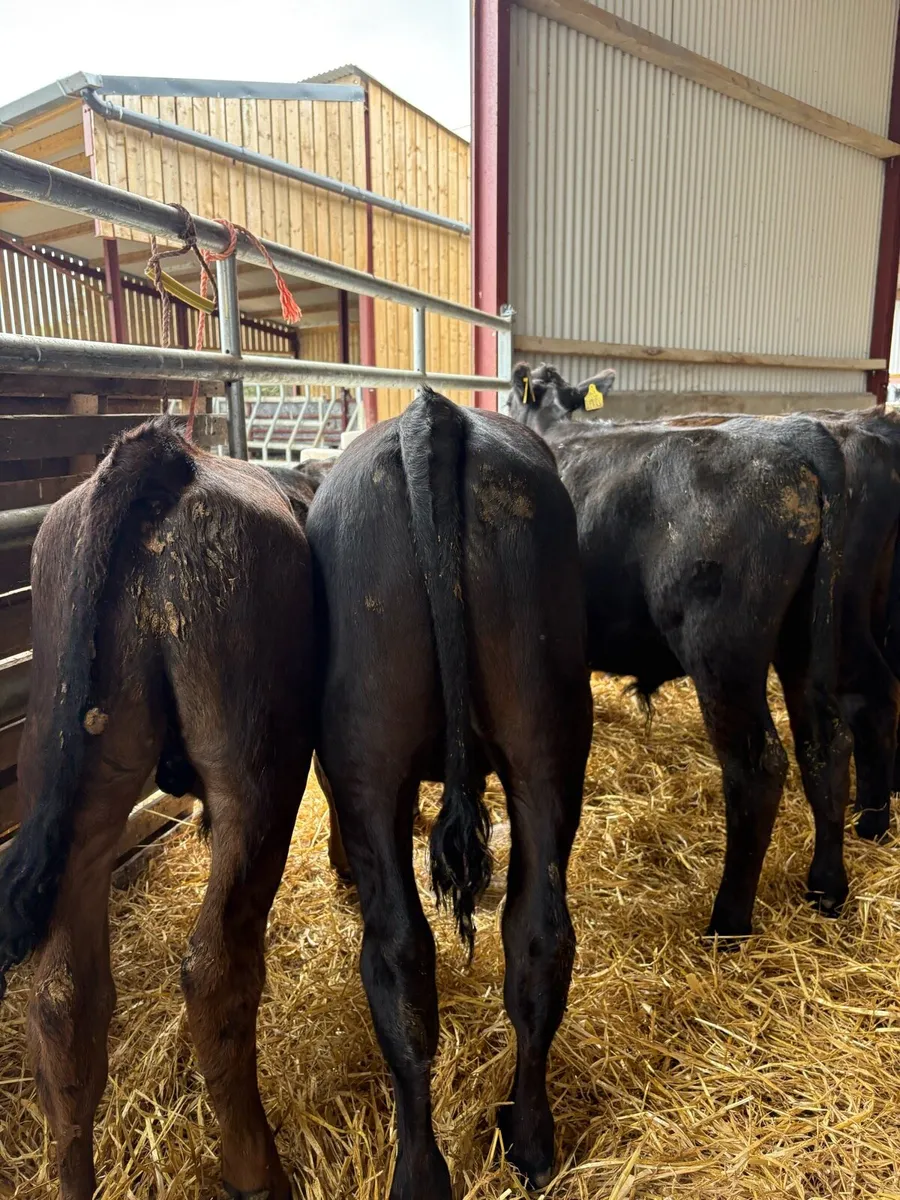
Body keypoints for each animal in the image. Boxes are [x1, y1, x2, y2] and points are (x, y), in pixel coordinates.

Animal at [0, 418, 316, 1200]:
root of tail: (167, 459)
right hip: (256, 771)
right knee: (215, 968)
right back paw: (256, 1172)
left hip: (78, 773)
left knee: (63, 997)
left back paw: (74, 1179)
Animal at [306, 386, 593, 1199]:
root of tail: (431, 417)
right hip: (548, 742)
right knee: (539, 936)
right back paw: (529, 1139)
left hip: (368, 761)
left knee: (397, 956)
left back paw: (420, 1172)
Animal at [507, 362, 853, 941]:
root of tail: (796, 438)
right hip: (805, 640)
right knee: (826, 745)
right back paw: (828, 888)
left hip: (720, 650)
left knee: (758, 768)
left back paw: (727, 924)